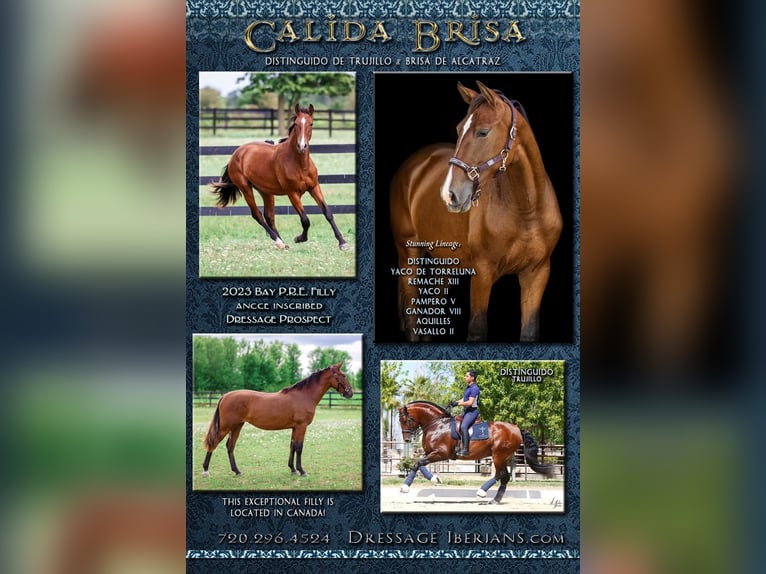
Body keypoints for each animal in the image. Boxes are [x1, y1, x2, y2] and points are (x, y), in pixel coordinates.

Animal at [202, 363, 353, 477]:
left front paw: (293, 469)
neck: (304, 395)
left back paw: (237, 471)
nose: (350, 393)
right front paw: (302, 471)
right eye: (343, 375)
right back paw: (206, 470)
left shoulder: (295, 428)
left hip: (237, 426)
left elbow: (292, 446)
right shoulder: (301, 426)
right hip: (225, 427)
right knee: (214, 443)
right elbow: (299, 448)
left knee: (230, 446)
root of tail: (225, 396)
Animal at [209, 104, 349, 251]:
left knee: (269, 216)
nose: (302, 146)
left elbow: (328, 213)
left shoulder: (314, 187)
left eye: (311, 123)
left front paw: (342, 242)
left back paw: (283, 243)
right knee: (257, 215)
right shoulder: (292, 193)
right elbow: (305, 220)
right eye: (296, 124)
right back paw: (279, 242)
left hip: (265, 191)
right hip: (246, 188)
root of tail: (237, 153)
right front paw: (300, 238)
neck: (300, 165)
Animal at [390, 81, 562, 341]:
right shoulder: (482, 272)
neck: (527, 212)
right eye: (459, 129)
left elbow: (529, 331)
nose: (449, 194)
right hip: (408, 253)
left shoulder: (537, 273)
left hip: (447, 262)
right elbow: (477, 329)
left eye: (483, 132)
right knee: (412, 317)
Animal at [398, 401, 556, 504]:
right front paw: (434, 479)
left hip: (499, 456)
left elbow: (418, 463)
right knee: (503, 476)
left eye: (405, 420)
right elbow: (418, 464)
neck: (437, 424)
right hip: (501, 457)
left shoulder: (441, 453)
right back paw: (494, 499)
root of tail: (516, 428)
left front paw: (405, 487)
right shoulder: (430, 452)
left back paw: (483, 494)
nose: (406, 439)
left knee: (501, 475)